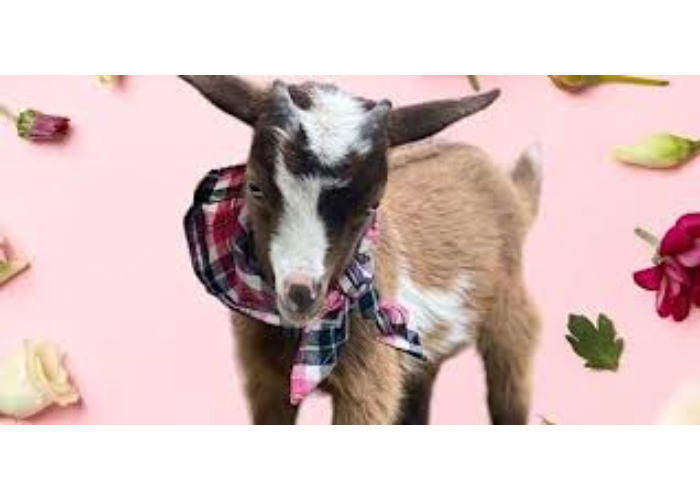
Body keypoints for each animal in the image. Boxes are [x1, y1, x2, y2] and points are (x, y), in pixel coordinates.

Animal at [181, 76, 542, 425]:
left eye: (372, 205)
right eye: (254, 187)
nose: (300, 294)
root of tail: (512, 190)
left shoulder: (369, 384)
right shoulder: (263, 379)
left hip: (510, 314)